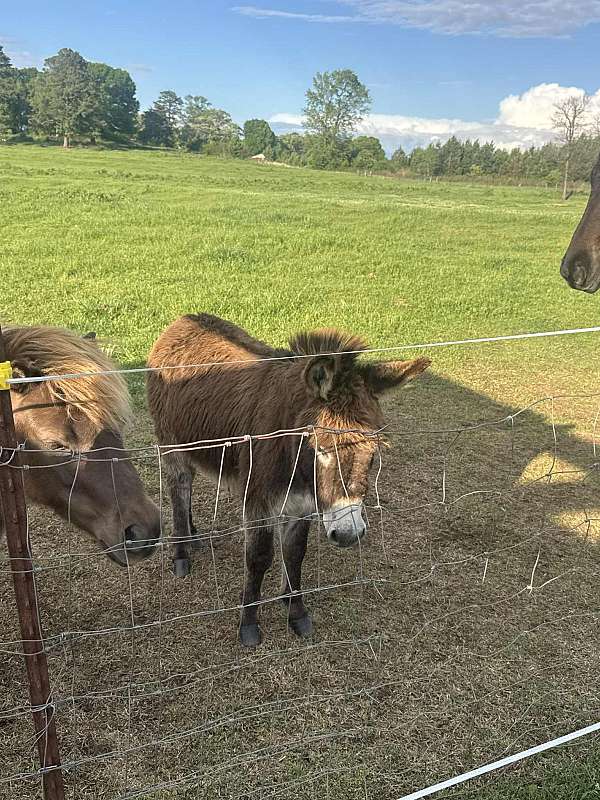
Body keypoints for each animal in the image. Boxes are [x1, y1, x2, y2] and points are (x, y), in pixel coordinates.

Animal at [147, 313, 430, 646]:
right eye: (320, 448)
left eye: (373, 452)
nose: (348, 535)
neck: (293, 454)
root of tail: (184, 320)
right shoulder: (258, 501)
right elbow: (258, 558)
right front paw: (249, 625)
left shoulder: (302, 504)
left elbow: (295, 555)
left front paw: (295, 612)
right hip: (172, 444)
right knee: (179, 487)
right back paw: (181, 553)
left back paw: (193, 535)